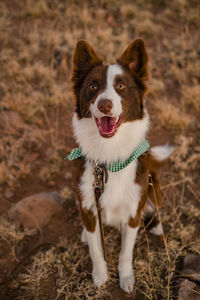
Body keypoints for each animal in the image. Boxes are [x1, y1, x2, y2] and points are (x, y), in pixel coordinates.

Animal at [67, 39, 173, 292]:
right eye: (93, 86)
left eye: (121, 85)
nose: (105, 105)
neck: (109, 157)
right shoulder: (89, 204)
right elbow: (96, 250)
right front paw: (100, 275)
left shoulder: (133, 211)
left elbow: (126, 251)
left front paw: (126, 277)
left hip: (153, 183)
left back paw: (156, 225)